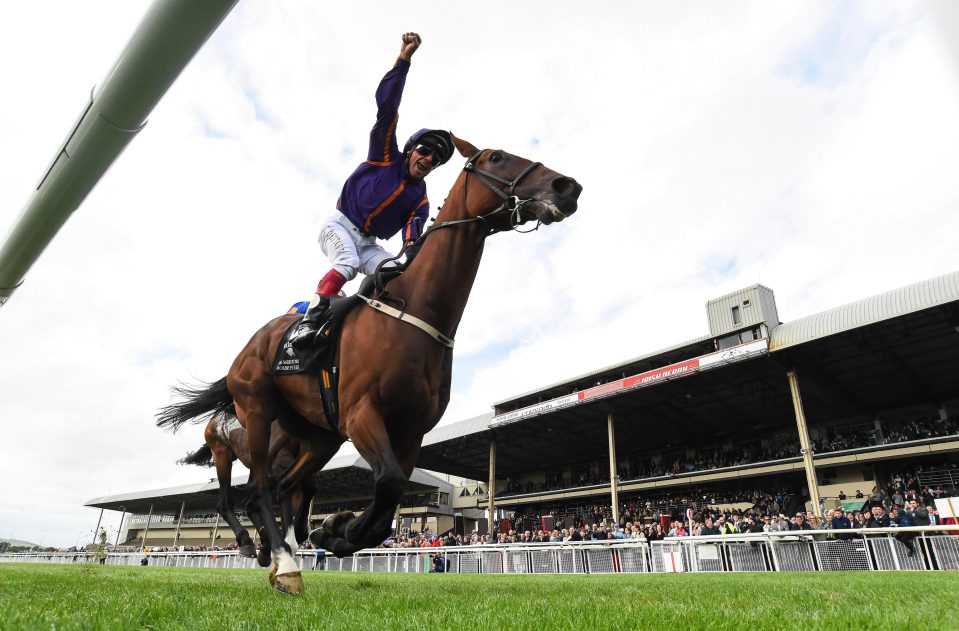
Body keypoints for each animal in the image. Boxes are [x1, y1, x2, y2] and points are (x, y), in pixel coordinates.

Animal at [179, 412, 316, 564]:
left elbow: (309, 486)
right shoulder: (280, 458)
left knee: (249, 501)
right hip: (222, 453)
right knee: (226, 503)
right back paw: (247, 541)